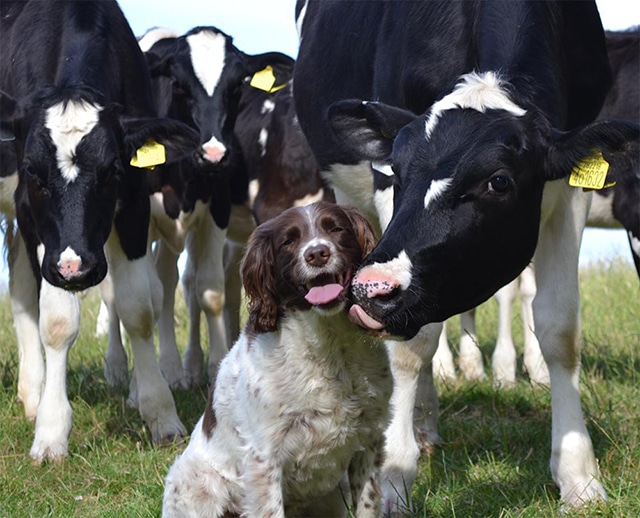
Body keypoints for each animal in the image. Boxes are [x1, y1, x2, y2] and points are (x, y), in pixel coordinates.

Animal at [0, 0, 200, 464]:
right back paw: (35, 394)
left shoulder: (136, 205)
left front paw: (161, 413)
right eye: (33, 171)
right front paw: (51, 431)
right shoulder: (34, 219)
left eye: (111, 170)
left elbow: (137, 309)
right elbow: (56, 321)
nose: (77, 269)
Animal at [162, 202, 392, 518]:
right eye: (288, 241)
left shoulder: (368, 441)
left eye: (336, 228)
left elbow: (368, 504)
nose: (317, 253)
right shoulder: (265, 457)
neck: (329, 347)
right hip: (197, 484)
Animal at [296, 0, 640, 512]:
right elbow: (410, 348)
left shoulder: (568, 185)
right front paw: (392, 476)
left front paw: (579, 477)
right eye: (397, 170)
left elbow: (559, 328)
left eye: (498, 181)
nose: (370, 289)